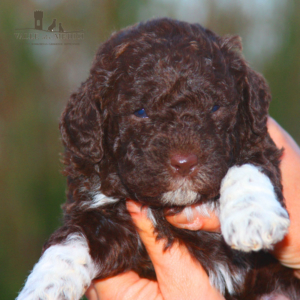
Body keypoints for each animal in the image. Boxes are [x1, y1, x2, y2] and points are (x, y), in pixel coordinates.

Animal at [17, 18, 300, 300]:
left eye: (215, 107)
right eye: (140, 111)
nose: (185, 163)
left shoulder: (257, 140)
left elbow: (247, 167)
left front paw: (252, 218)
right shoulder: (99, 210)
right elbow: (74, 239)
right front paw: (45, 287)